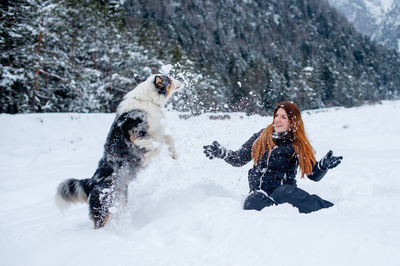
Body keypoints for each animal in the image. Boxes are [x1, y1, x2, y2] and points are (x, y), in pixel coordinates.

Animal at [55, 74, 182, 229]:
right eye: (169, 80)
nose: (180, 81)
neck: (147, 100)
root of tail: (91, 183)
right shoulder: (137, 135)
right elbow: (156, 147)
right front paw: (145, 158)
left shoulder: (157, 133)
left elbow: (169, 139)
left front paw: (174, 154)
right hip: (103, 207)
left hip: (120, 200)